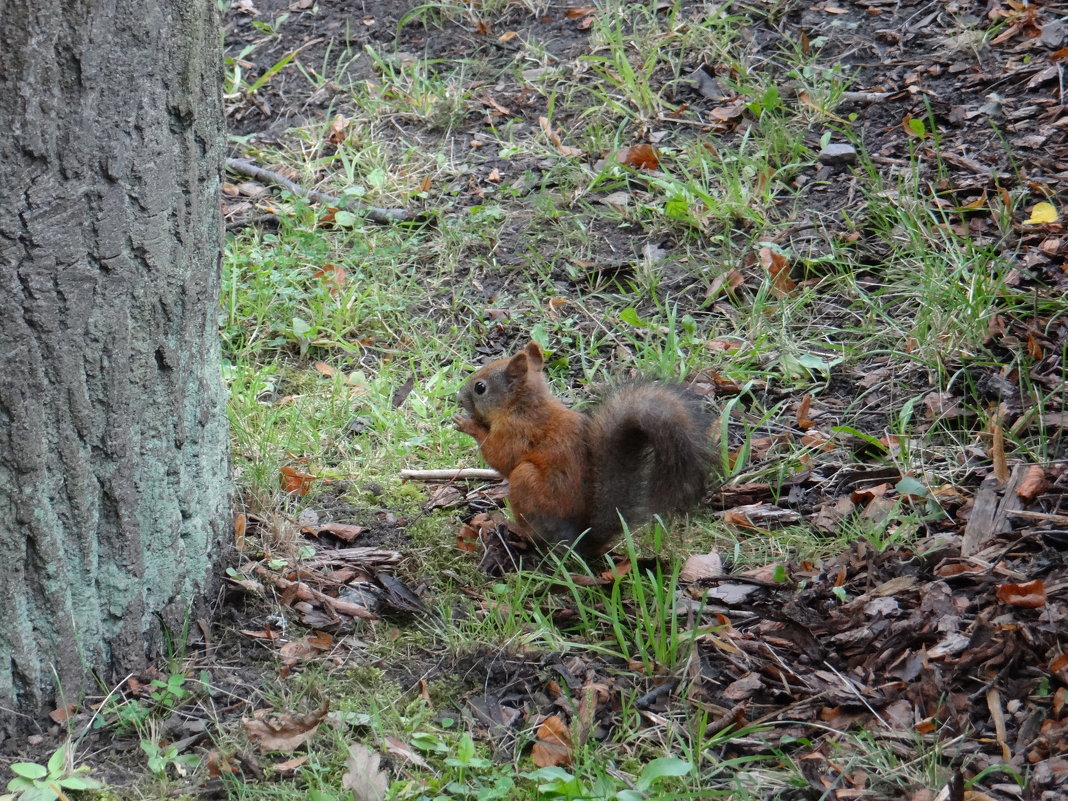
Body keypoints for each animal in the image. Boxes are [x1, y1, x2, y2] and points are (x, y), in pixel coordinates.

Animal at [454, 343, 713, 559]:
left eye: (480, 388)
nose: (459, 397)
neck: (522, 406)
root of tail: (579, 540)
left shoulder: (516, 432)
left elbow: (500, 457)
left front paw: (467, 425)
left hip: (526, 480)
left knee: (537, 538)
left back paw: (513, 530)